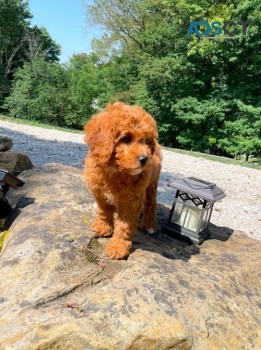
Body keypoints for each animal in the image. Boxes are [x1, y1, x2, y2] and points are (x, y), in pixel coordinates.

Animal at [83, 102, 160, 260]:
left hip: (152, 183)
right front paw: (103, 226)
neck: (116, 171)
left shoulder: (131, 202)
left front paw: (118, 247)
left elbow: (124, 225)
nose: (144, 159)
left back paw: (149, 225)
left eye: (146, 141)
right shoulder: (100, 194)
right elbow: (104, 211)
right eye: (126, 138)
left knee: (151, 204)